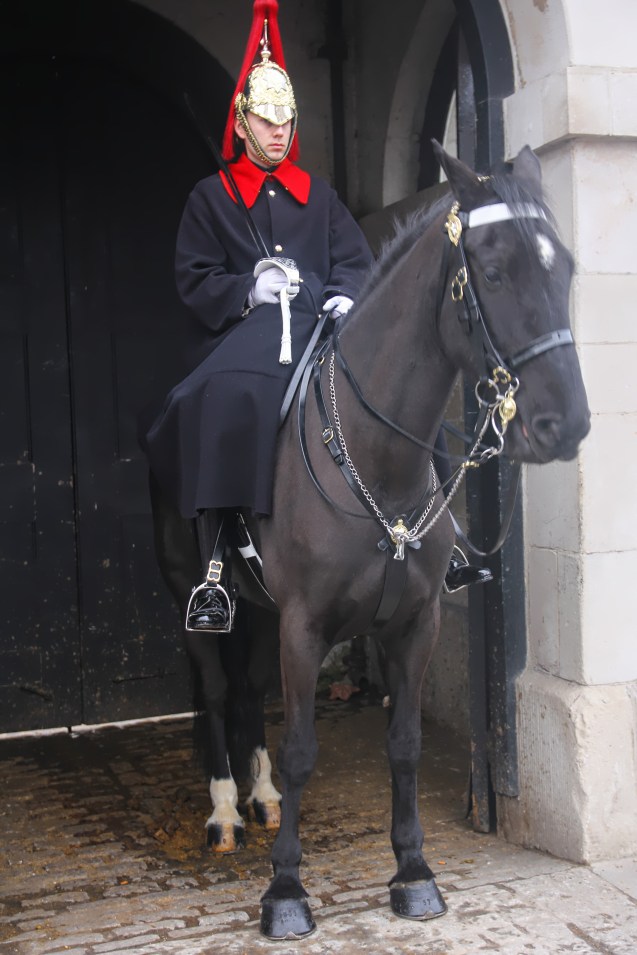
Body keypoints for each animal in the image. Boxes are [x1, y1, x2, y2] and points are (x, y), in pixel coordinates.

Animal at [150, 141, 590, 940]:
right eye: (493, 268)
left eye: (564, 266)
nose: (564, 424)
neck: (373, 452)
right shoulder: (303, 626)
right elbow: (300, 749)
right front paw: (285, 889)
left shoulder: (416, 622)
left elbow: (405, 743)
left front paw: (413, 871)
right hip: (193, 598)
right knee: (219, 686)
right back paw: (226, 808)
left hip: (258, 611)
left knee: (247, 689)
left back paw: (259, 799)